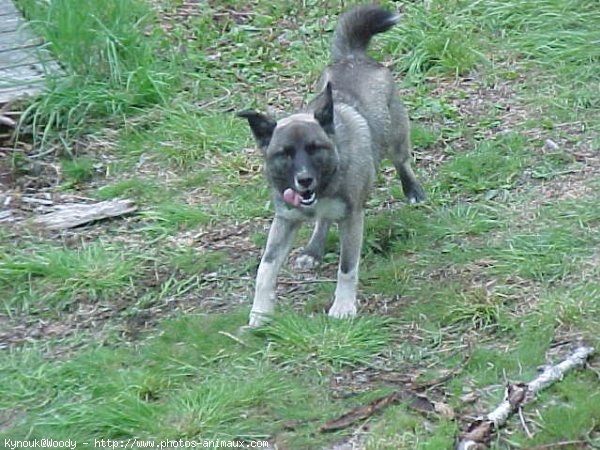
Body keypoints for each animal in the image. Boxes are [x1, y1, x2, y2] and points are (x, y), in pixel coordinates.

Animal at [237, 4, 424, 326]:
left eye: (315, 148)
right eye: (284, 153)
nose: (304, 180)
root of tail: (352, 57)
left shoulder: (352, 219)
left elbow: (347, 268)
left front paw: (343, 307)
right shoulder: (285, 220)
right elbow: (265, 269)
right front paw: (260, 314)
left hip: (396, 139)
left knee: (402, 163)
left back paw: (413, 191)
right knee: (323, 220)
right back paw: (313, 249)